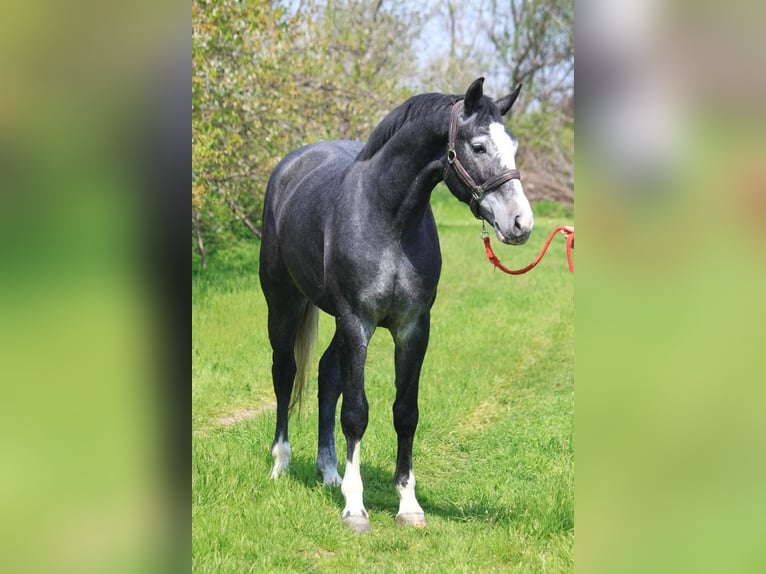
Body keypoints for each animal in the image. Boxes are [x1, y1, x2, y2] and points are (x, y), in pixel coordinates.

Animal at [260, 77, 536, 536]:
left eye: (512, 146)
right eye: (479, 146)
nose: (521, 224)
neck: (388, 217)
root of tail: (289, 167)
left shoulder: (412, 327)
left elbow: (405, 412)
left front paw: (408, 504)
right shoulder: (358, 321)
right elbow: (356, 412)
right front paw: (355, 507)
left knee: (326, 376)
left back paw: (329, 472)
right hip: (283, 304)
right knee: (285, 375)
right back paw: (280, 465)